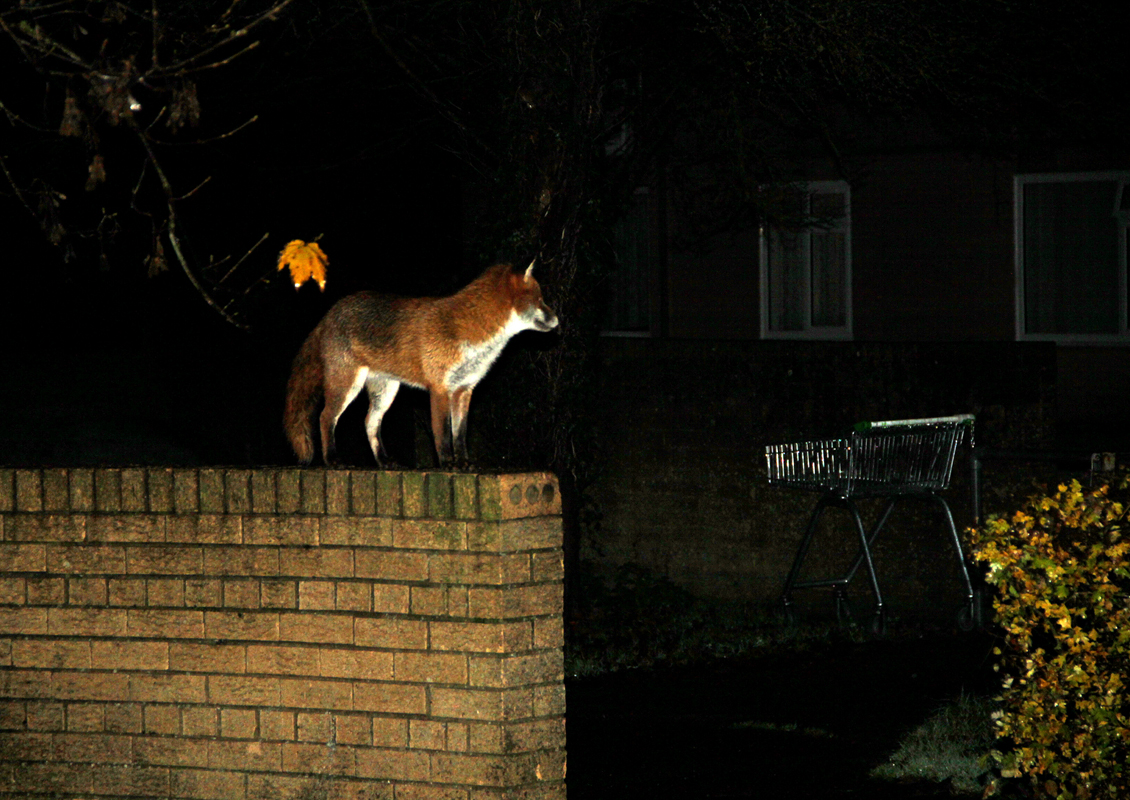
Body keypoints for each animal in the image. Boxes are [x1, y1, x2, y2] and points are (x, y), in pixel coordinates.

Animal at [284, 259, 558, 465]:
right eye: (540, 299)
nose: (557, 320)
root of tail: (330, 313)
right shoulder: (439, 388)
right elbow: (443, 434)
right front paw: (447, 464)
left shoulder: (463, 390)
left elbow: (460, 434)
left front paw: (464, 463)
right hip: (347, 385)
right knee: (325, 418)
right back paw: (332, 460)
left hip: (386, 391)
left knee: (369, 422)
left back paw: (384, 461)